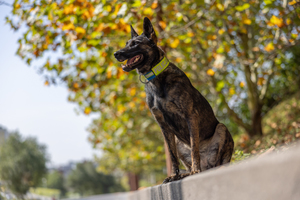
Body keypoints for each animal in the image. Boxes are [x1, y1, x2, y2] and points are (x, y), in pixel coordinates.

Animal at [113, 17, 233, 184]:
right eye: (126, 43)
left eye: (135, 43)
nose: (115, 54)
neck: (156, 79)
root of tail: (207, 166)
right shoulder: (163, 125)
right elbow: (172, 155)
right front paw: (174, 176)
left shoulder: (190, 116)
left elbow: (194, 147)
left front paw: (194, 170)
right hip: (178, 142)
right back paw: (185, 174)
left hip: (222, 128)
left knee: (220, 162)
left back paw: (201, 170)